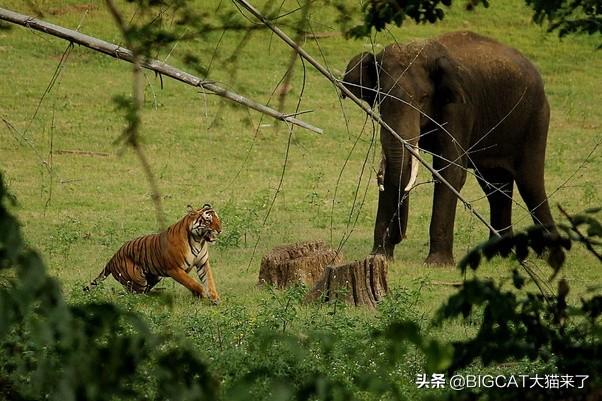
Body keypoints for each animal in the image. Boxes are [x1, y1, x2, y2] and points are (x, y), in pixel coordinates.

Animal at [85, 205, 223, 302]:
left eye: (218, 219)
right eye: (208, 221)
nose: (220, 230)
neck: (198, 240)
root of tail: (113, 257)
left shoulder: (203, 263)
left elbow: (209, 280)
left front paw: (214, 298)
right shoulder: (174, 269)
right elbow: (192, 282)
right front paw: (203, 293)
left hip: (154, 276)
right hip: (138, 281)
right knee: (131, 295)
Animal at [340, 29, 556, 264]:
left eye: (423, 98)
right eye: (380, 95)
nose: (400, 236)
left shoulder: (459, 109)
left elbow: (450, 172)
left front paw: (437, 264)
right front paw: (379, 256)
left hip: (535, 119)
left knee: (530, 183)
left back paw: (549, 254)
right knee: (496, 187)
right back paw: (500, 254)